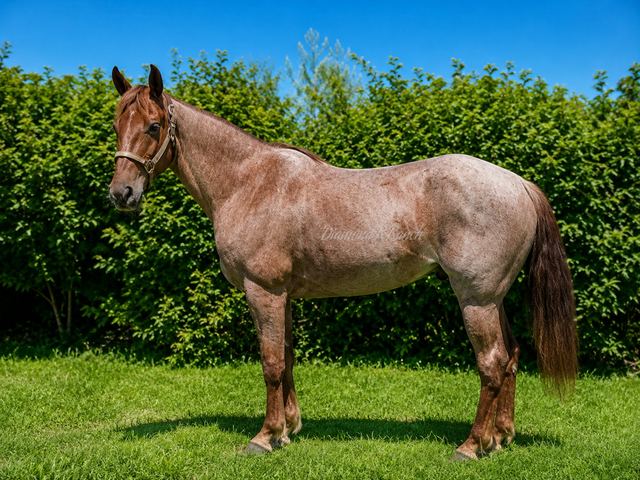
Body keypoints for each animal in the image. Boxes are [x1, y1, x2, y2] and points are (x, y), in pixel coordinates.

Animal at [108, 65, 577, 460]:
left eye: (154, 126)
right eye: (116, 126)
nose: (121, 193)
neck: (248, 183)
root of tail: (517, 183)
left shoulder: (264, 291)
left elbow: (271, 363)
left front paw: (264, 437)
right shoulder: (284, 296)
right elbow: (288, 356)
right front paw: (288, 429)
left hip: (476, 299)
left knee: (492, 363)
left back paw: (472, 445)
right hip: (494, 299)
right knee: (511, 356)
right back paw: (501, 437)